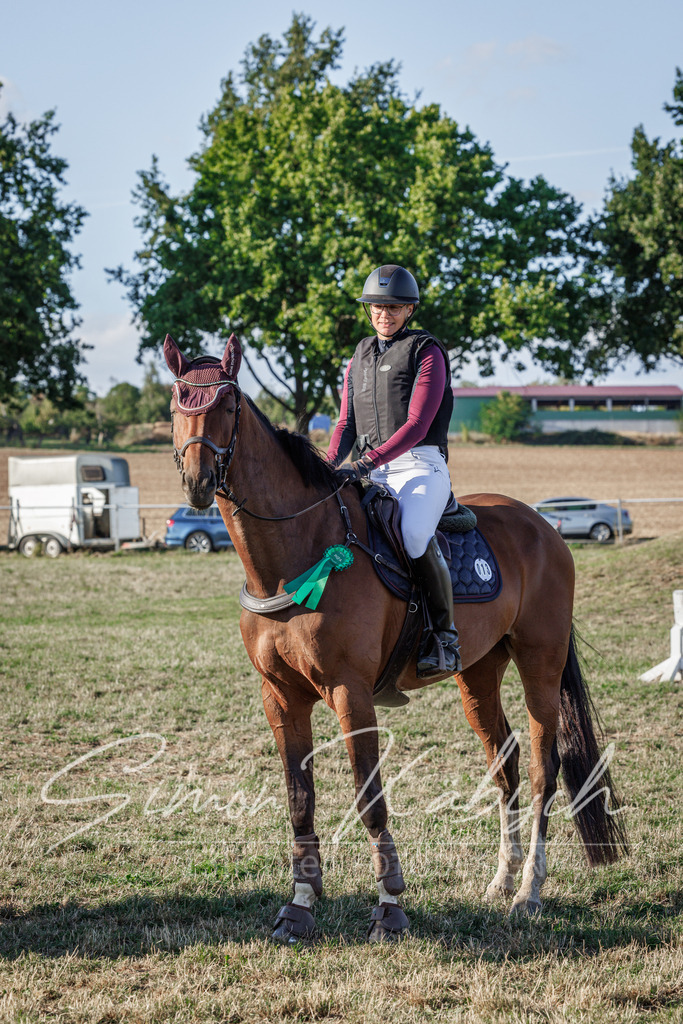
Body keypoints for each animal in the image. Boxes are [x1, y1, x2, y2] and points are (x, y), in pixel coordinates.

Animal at [164, 332, 628, 943]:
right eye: (177, 405)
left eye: (228, 404)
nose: (197, 483)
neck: (294, 555)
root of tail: (543, 527)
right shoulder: (280, 697)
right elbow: (299, 799)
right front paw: (300, 907)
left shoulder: (351, 692)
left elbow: (370, 798)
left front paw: (389, 906)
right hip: (478, 673)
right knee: (504, 764)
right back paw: (501, 881)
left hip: (540, 665)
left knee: (541, 770)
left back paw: (528, 891)